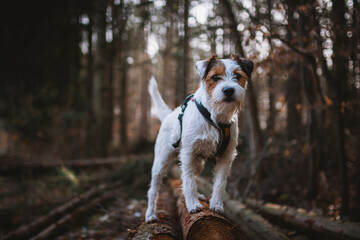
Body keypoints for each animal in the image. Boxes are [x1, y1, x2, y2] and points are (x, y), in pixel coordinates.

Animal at [146, 54, 253, 221]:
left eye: (237, 76)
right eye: (215, 77)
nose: (229, 90)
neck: (215, 118)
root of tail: (169, 116)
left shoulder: (226, 156)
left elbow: (219, 183)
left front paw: (216, 204)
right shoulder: (188, 153)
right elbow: (189, 182)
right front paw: (193, 205)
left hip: (197, 163)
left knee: (190, 176)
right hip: (161, 161)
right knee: (154, 188)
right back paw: (150, 214)